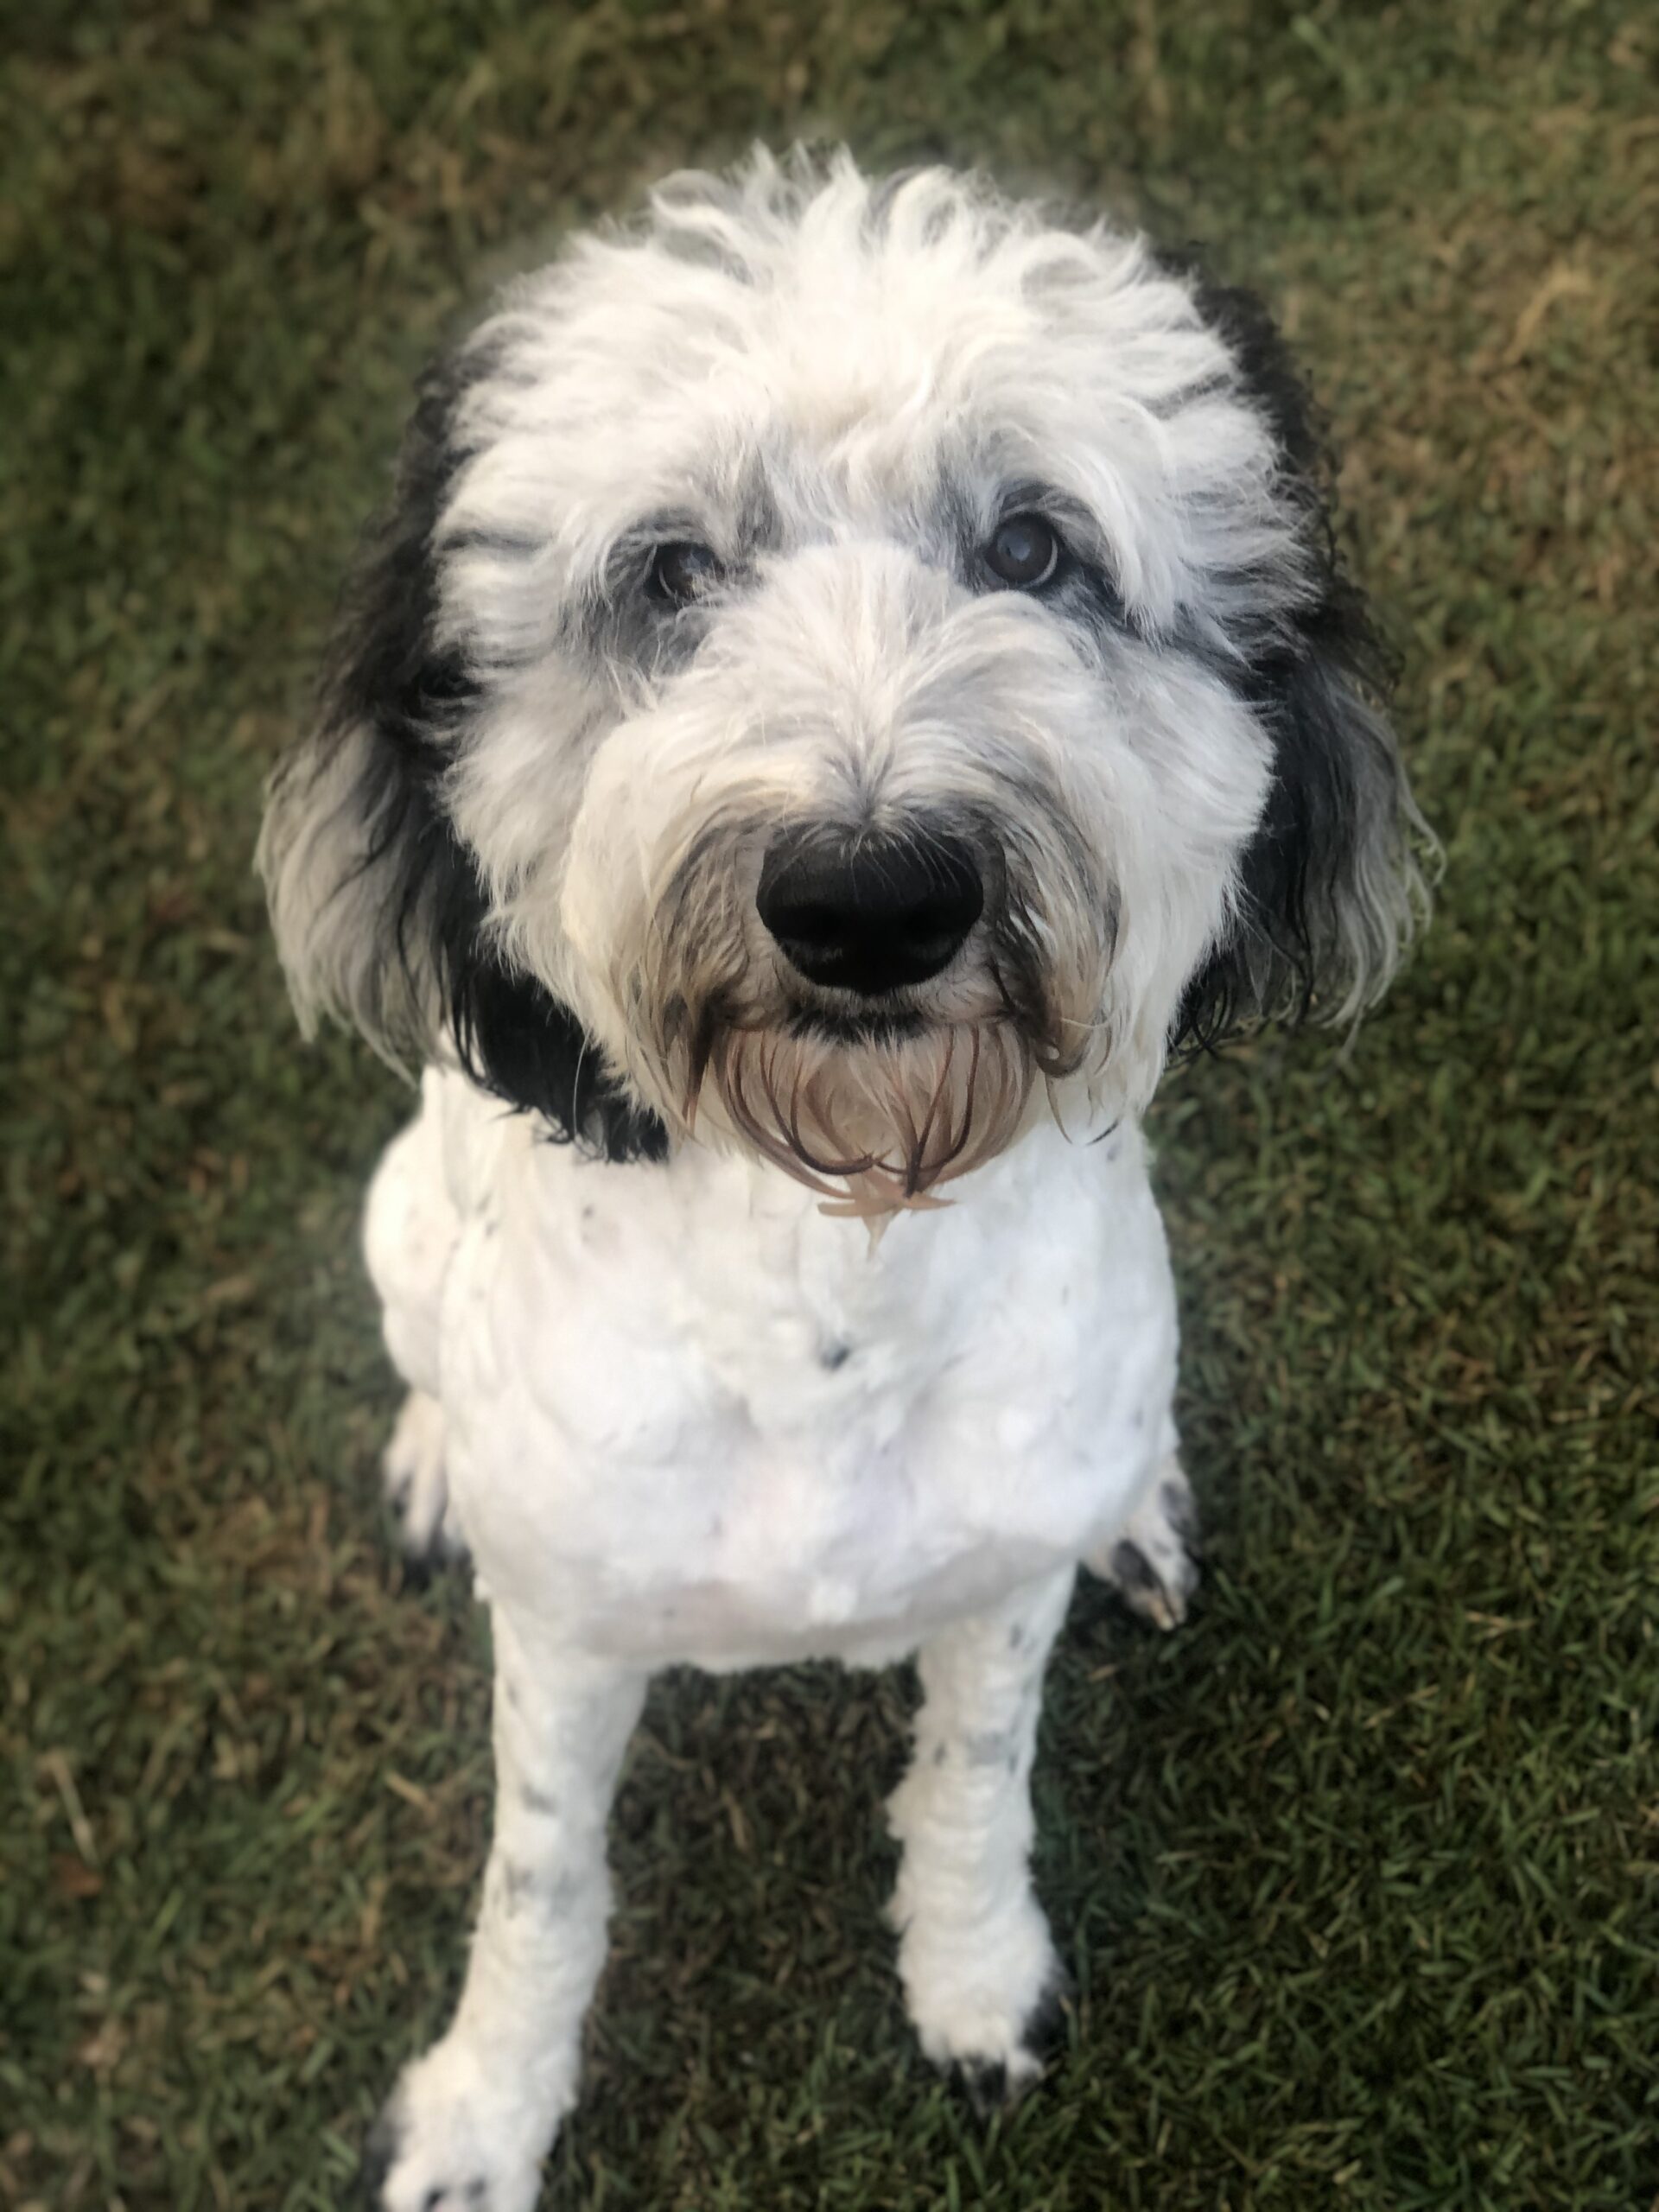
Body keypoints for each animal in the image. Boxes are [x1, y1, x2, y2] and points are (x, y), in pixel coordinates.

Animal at [259, 147, 1433, 2202]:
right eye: (669, 573)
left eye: (1034, 547)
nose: (871, 901)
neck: (837, 1272)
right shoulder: (565, 1641)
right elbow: (542, 1878)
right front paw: (483, 2112)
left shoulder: (995, 1592)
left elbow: (973, 1775)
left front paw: (974, 1984)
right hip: (399, 1211)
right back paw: (431, 1465)